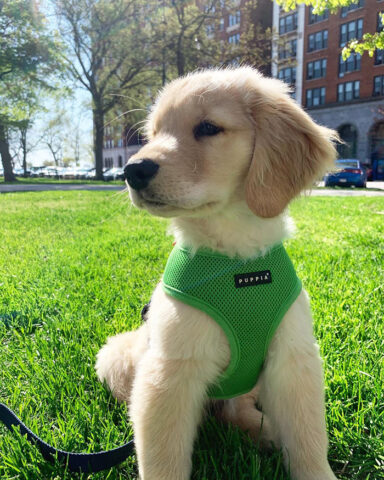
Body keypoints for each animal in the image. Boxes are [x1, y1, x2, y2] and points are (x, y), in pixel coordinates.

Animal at [96, 68, 340, 480]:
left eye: (208, 128)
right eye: (152, 135)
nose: (132, 170)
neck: (236, 263)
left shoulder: (293, 361)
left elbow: (308, 439)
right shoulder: (167, 373)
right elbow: (163, 459)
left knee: (236, 409)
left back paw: (263, 431)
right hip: (116, 355)